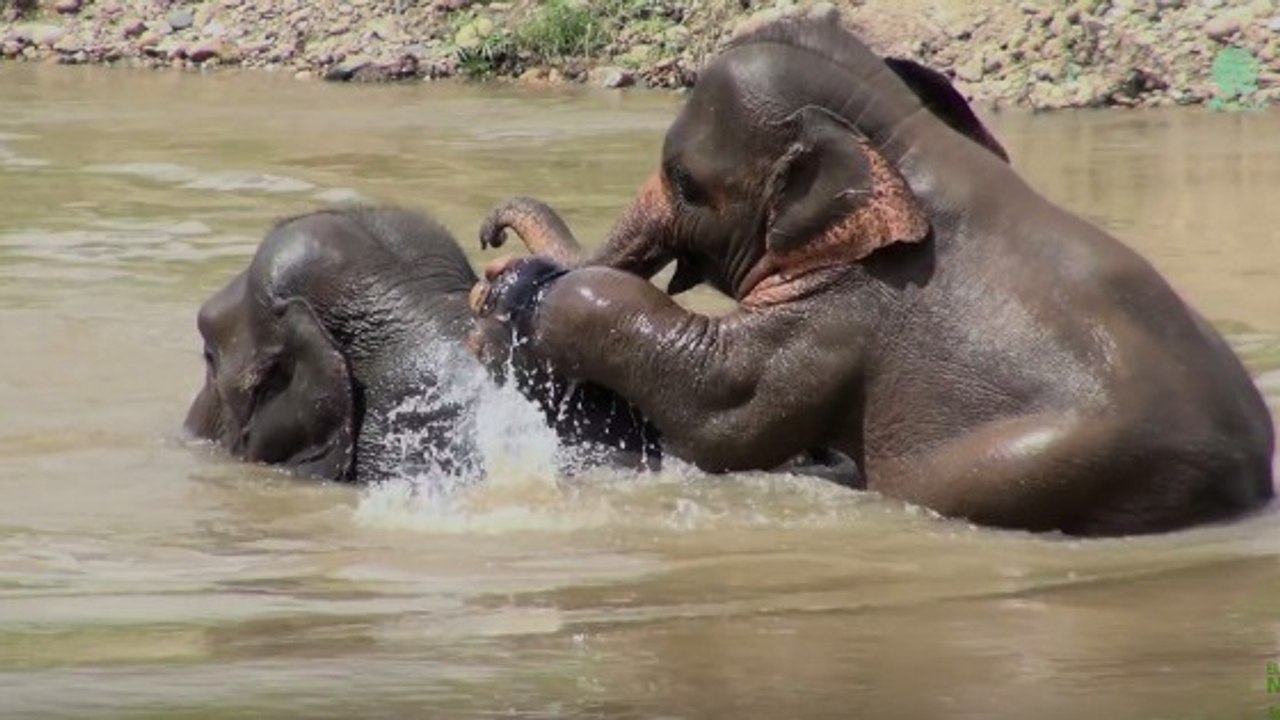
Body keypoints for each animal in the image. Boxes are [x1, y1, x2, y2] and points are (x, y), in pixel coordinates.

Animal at [471, 13, 1276, 536]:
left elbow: (724, 410)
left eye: (683, 181)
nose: (489, 240)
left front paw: (519, 303)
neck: (900, 142)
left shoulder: (848, 305)